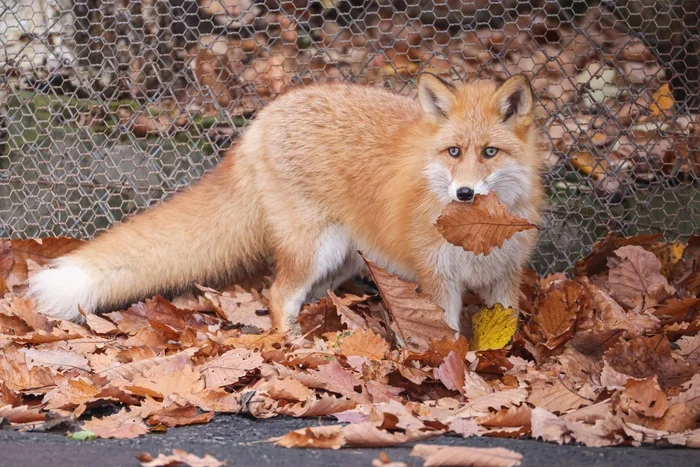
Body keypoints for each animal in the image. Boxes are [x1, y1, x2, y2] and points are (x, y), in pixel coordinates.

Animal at [28, 75, 548, 332]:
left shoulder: (504, 280)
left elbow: (501, 340)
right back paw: (293, 351)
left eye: (490, 153)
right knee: (277, 297)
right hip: (314, 249)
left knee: (304, 297)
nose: (464, 193)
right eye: (454, 153)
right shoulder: (438, 281)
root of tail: (263, 116)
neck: (479, 236)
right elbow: (449, 340)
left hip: (340, 258)